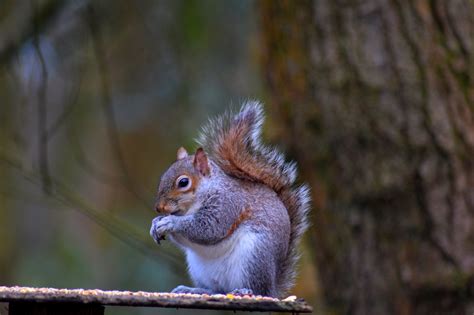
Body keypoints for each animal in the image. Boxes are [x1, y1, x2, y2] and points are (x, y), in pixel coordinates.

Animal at [149, 102, 312, 298]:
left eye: (183, 182)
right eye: (163, 176)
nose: (159, 208)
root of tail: (274, 288)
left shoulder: (227, 204)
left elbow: (208, 229)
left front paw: (171, 222)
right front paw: (156, 223)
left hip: (254, 256)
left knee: (258, 290)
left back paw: (244, 291)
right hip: (200, 269)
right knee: (217, 290)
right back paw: (194, 290)